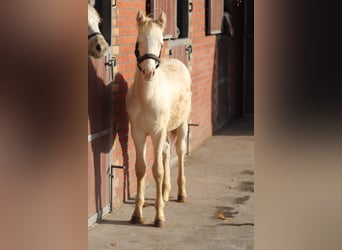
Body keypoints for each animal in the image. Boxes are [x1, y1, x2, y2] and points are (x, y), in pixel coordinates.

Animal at [125, 10, 191, 228]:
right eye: (138, 42)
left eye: (161, 44)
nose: (148, 72)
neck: (147, 97)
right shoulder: (137, 133)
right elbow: (141, 169)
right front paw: (137, 214)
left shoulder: (157, 132)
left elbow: (158, 171)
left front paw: (159, 217)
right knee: (166, 151)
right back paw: (164, 193)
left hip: (182, 125)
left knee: (179, 151)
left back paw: (180, 194)